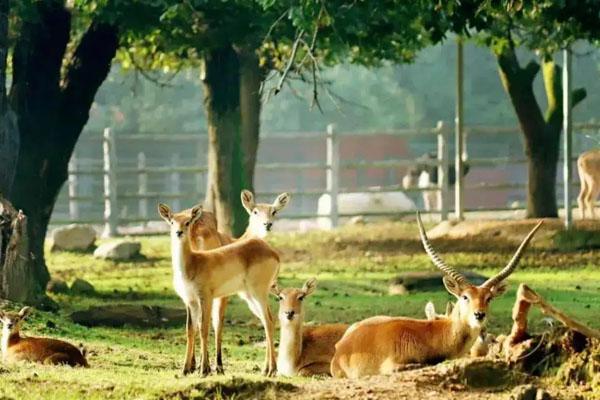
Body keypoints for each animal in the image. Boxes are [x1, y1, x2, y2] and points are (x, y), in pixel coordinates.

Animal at [159, 203, 282, 376]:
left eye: (188, 222)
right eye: (172, 221)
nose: (178, 232)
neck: (192, 264)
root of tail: (273, 253)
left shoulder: (206, 297)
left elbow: (204, 328)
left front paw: (204, 370)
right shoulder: (190, 301)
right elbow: (190, 330)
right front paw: (185, 370)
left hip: (259, 292)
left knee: (269, 320)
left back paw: (271, 370)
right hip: (250, 296)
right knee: (266, 321)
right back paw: (266, 370)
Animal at [186, 189, 292, 374]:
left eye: (274, 211)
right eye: (255, 211)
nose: (267, 224)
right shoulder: (222, 295)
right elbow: (217, 323)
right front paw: (217, 366)